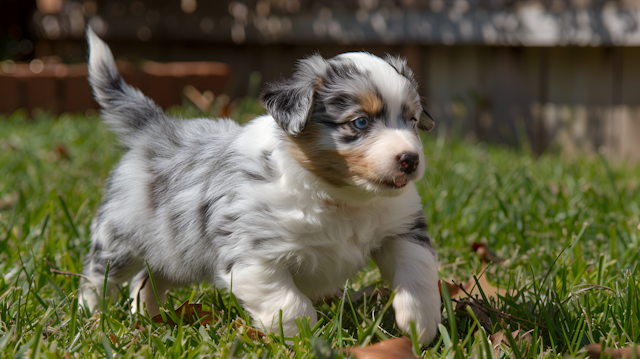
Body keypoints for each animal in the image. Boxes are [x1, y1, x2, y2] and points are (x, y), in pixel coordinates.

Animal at [79, 26, 440, 344]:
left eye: (411, 120)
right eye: (360, 122)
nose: (410, 160)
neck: (341, 197)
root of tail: (157, 128)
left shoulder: (400, 230)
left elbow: (417, 272)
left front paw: (420, 324)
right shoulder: (254, 256)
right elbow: (290, 305)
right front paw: (302, 339)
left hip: (177, 248)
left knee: (148, 278)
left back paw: (148, 316)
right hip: (121, 238)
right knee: (98, 274)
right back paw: (89, 314)